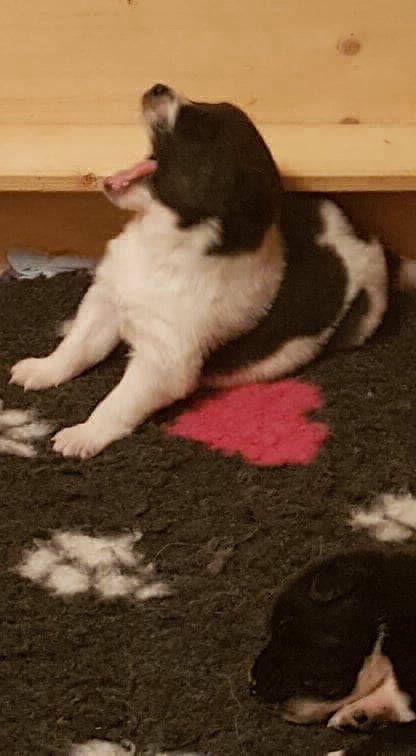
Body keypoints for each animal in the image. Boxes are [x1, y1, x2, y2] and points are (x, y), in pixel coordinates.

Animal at [9, 83, 415, 458]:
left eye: (196, 130)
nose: (158, 87)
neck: (163, 243)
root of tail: (372, 241)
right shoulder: (107, 299)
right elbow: (78, 346)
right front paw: (43, 369)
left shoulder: (163, 360)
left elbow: (118, 401)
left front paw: (85, 433)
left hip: (365, 313)